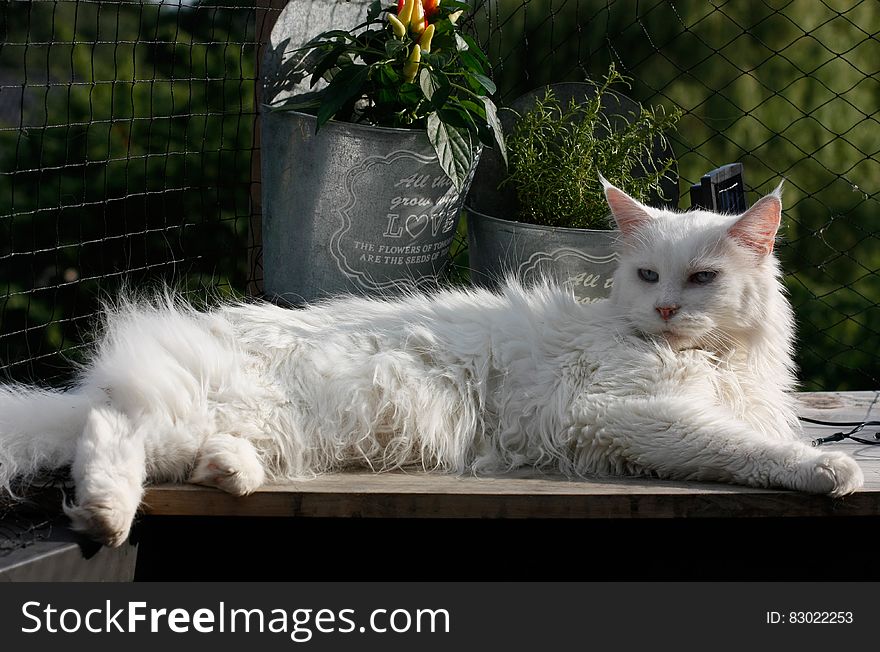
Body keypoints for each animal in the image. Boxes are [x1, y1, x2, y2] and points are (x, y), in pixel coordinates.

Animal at [0, 178, 864, 544]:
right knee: (109, 434)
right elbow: (739, 447)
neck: (713, 362)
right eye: (651, 276)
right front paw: (827, 469)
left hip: (246, 423)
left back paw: (231, 473)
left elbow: (752, 433)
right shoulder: (624, 415)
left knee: (163, 449)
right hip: (187, 405)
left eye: (703, 279)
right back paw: (106, 518)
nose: (664, 311)